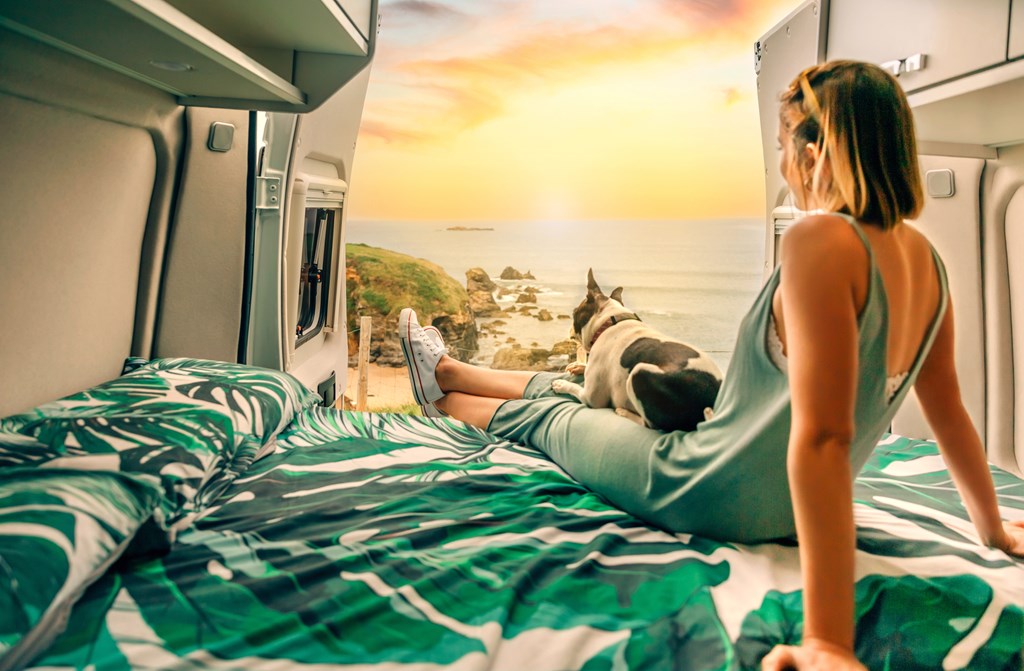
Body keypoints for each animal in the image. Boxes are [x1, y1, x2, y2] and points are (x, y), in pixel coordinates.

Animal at [548, 270, 724, 432]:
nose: (570, 329)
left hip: (639, 372)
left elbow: (574, 388)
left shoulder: (592, 398)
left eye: (573, 313)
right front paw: (579, 366)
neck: (610, 322)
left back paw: (623, 412)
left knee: (651, 425)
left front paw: (560, 384)